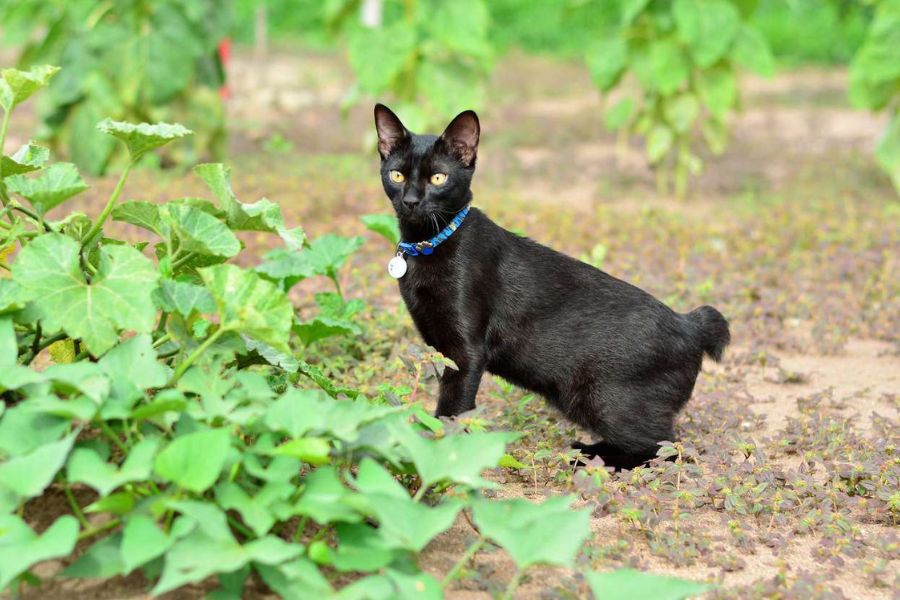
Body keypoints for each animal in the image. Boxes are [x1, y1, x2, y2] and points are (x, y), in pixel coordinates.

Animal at [372, 102, 732, 468]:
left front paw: (440, 456)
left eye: (438, 178)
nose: (411, 201)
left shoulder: (466, 352)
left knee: (663, 447)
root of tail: (691, 325)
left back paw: (588, 455)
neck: (428, 244)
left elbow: (452, 411)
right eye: (397, 175)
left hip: (601, 398)